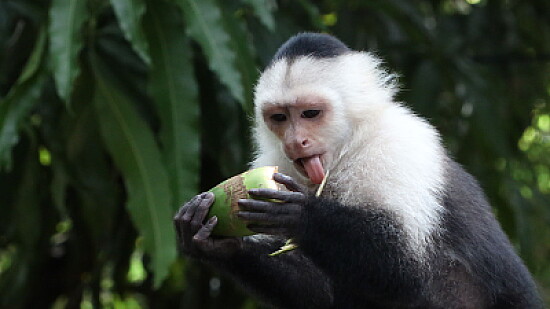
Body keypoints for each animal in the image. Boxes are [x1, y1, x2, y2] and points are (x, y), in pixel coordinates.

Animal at [175, 32, 544, 306]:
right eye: (279, 117)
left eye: (310, 113)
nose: (295, 142)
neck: (347, 149)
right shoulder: (275, 161)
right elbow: (320, 294)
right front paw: (211, 240)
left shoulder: (396, 147)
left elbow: (407, 272)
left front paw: (300, 215)